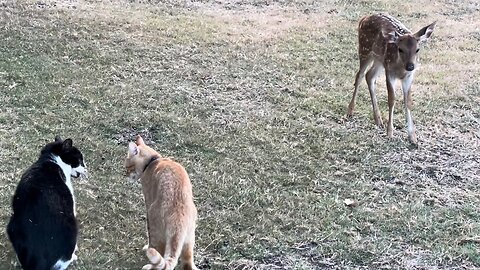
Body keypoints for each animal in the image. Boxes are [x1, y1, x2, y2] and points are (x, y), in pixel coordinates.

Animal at [6, 136, 87, 270]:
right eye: (80, 159)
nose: (86, 168)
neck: (50, 160)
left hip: (12, 227)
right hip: (71, 228)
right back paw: (73, 257)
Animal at [125, 136, 199, 268]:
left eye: (128, 167)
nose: (125, 174)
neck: (154, 161)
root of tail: (178, 217)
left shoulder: (148, 201)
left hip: (154, 224)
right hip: (189, 241)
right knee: (187, 263)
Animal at [346, 13, 436, 144]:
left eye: (417, 49)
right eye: (400, 49)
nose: (410, 66)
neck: (401, 69)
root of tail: (364, 18)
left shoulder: (409, 77)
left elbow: (408, 101)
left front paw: (413, 137)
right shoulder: (390, 72)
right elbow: (391, 99)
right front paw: (390, 133)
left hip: (379, 60)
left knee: (369, 76)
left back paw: (378, 120)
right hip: (364, 49)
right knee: (359, 76)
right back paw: (350, 111)